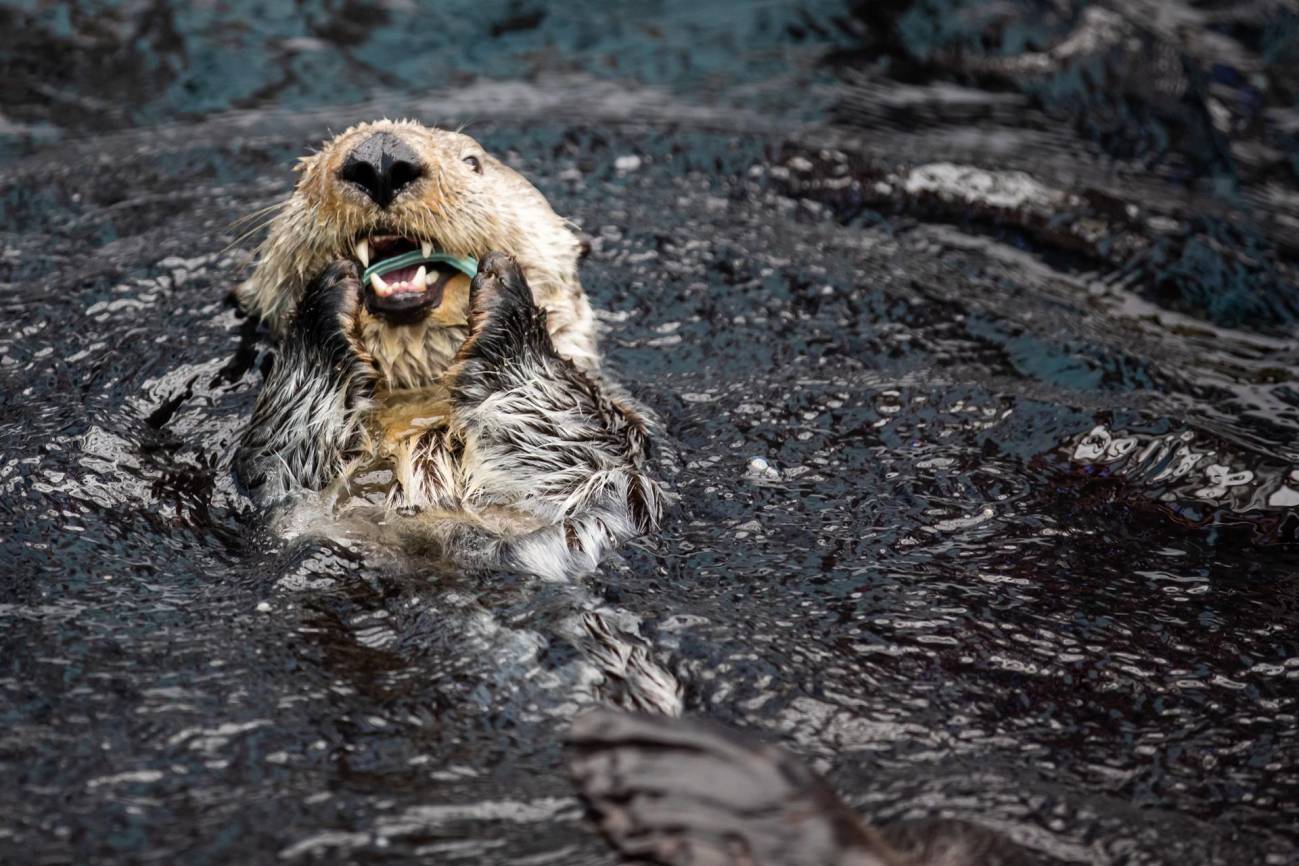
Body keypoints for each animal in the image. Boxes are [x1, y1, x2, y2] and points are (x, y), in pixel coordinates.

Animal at [235, 116, 665, 576]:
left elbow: (568, 439)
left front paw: (504, 291)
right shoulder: (286, 494)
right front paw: (326, 297)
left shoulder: (612, 445)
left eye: (473, 161)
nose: (380, 156)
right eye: (304, 172)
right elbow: (275, 456)